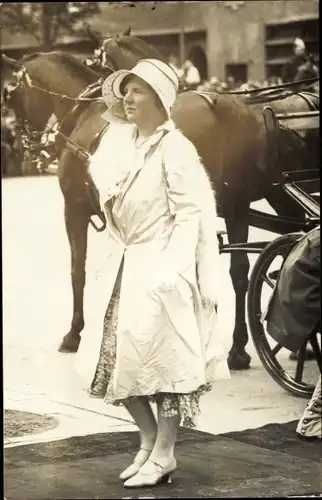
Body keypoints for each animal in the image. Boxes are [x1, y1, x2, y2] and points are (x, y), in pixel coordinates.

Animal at [1, 39, 320, 370]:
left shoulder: (74, 208)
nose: (28, 147)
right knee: (244, 270)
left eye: (10, 95)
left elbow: (79, 271)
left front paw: (74, 334)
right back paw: (252, 348)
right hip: (250, 200)